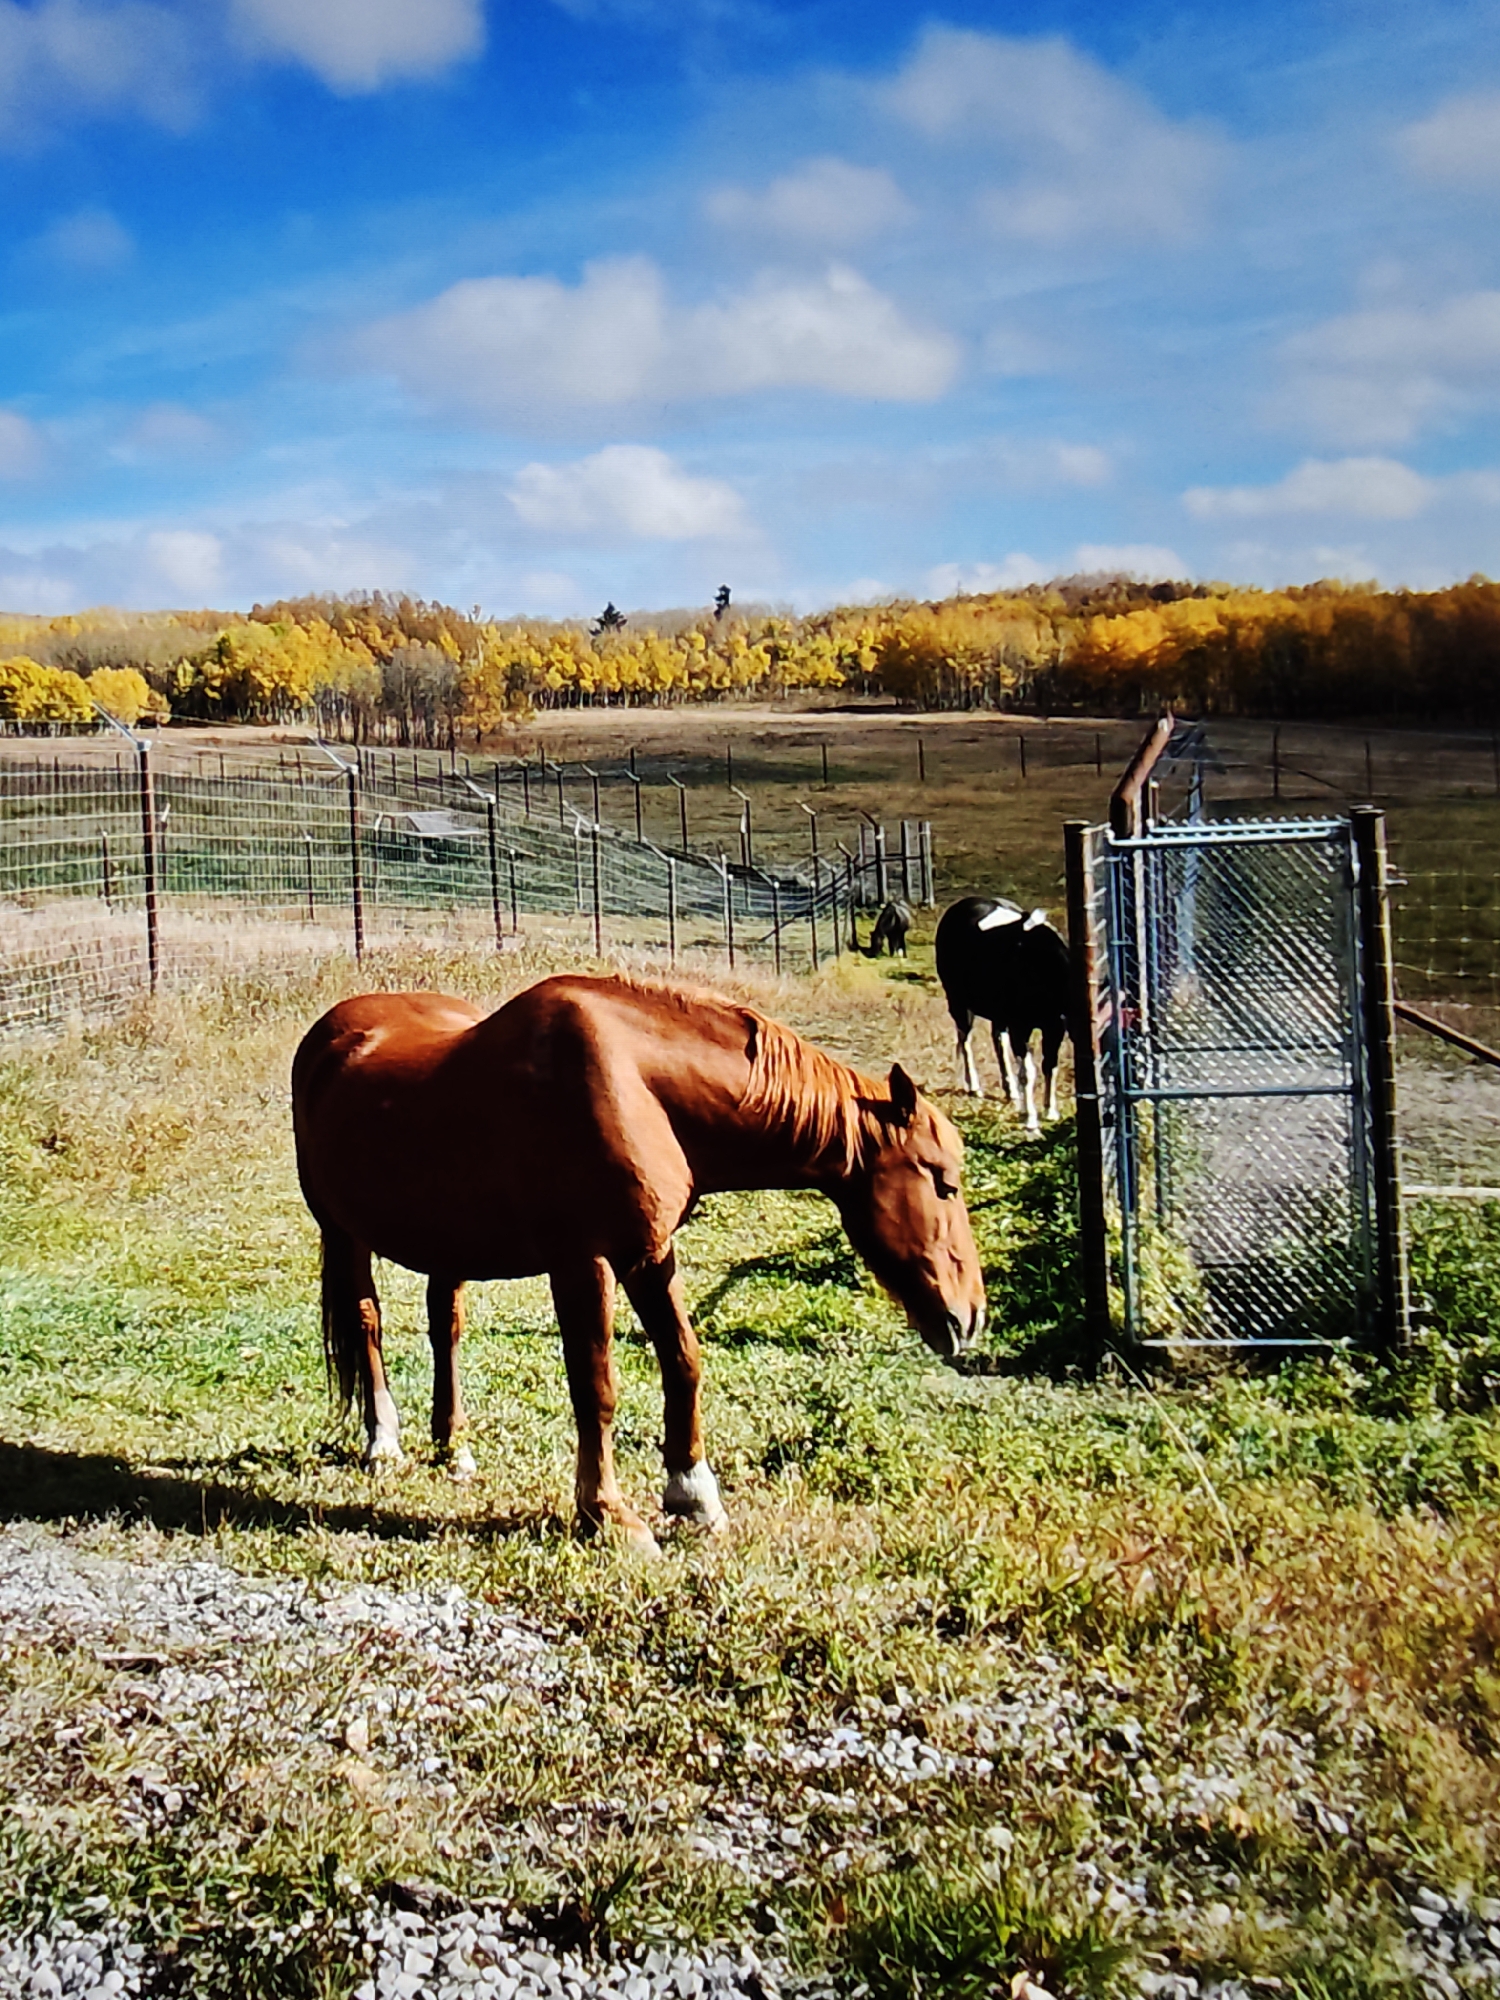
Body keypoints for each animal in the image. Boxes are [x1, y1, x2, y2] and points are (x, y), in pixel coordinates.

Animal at [292, 973, 986, 1552]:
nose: (971, 1317)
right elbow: (595, 1386)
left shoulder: (649, 1255)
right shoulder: (584, 1261)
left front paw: (693, 1494)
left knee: (447, 1327)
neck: (637, 1084)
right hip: (344, 1232)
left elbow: (683, 1361)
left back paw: (452, 1447)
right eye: (944, 1182)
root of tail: (332, 1033)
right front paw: (607, 1516)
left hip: (449, 1242)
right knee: (368, 1321)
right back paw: (383, 1441)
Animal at [934, 897, 1071, 1133]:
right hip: (959, 1003)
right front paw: (1031, 1119)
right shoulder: (1020, 1027)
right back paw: (975, 1086)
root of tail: (958, 906)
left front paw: (1050, 1111)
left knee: (997, 1041)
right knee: (965, 1040)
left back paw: (1010, 1090)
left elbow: (1050, 1065)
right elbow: (1027, 1072)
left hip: (997, 1014)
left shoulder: (1054, 1028)